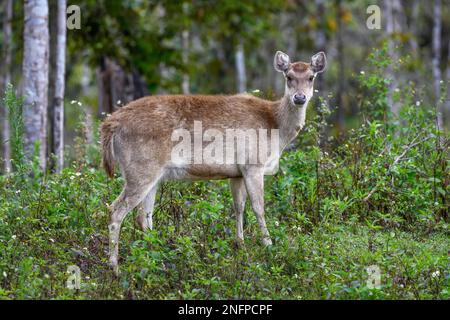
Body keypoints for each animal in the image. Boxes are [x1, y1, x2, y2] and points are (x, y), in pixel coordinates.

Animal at [102, 50, 326, 272]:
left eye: (311, 77)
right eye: (289, 77)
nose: (299, 97)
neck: (275, 127)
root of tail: (111, 123)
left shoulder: (237, 172)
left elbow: (238, 206)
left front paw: (240, 246)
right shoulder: (253, 164)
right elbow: (259, 207)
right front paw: (269, 246)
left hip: (152, 175)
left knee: (143, 216)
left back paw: (155, 259)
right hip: (141, 168)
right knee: (115, 211)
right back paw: (115, 267)